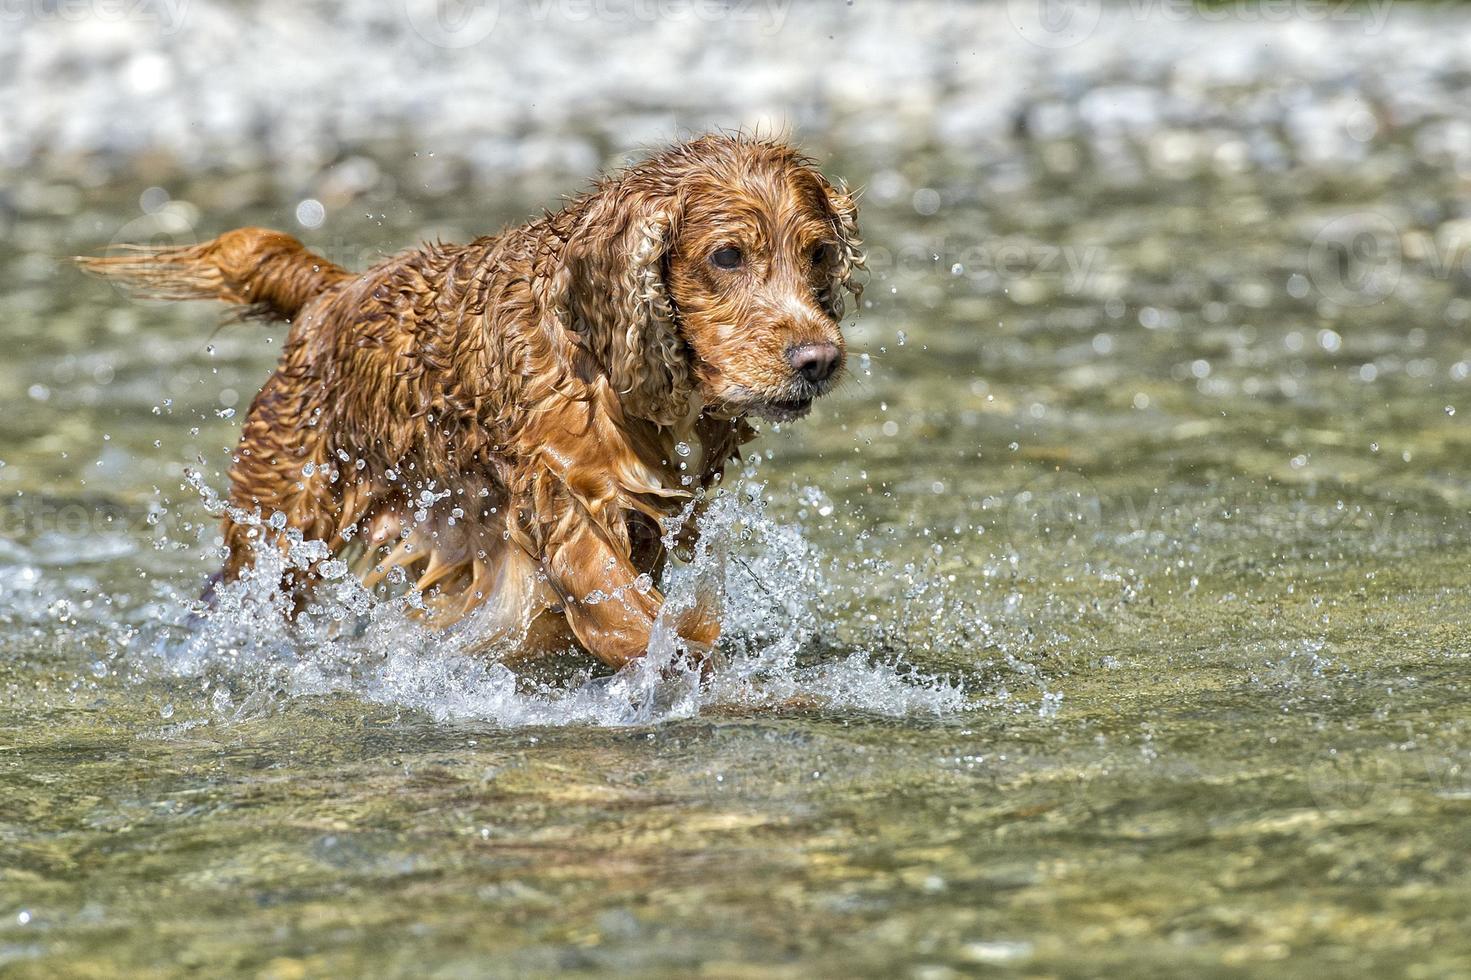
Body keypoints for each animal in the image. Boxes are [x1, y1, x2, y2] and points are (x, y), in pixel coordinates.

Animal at [80, 135, 859, 665]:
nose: (818, 360)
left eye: (818, 253)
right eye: (727, 256)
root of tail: (329, 290)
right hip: (280, 521)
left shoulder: (636, 515)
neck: (603, 359)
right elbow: (618, 612)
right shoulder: (558, 492)